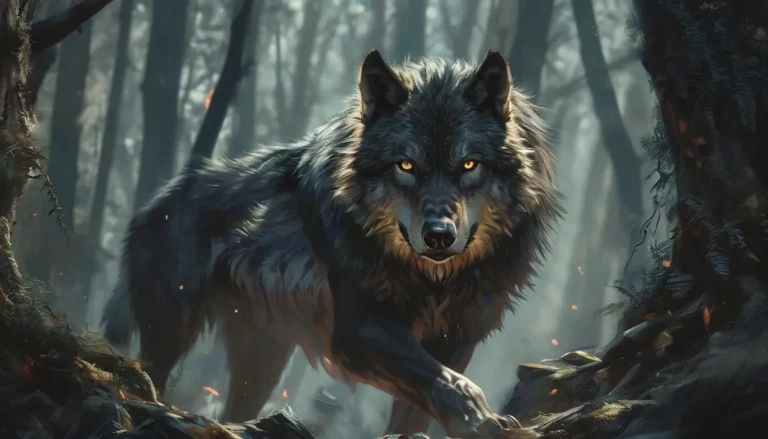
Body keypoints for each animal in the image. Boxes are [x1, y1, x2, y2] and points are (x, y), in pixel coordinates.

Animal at [102, 50, 561, 437]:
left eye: (468, 164)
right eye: (405, 165)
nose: (438, 235)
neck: (435, 280)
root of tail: (152, 205)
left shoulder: (456, 339)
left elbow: (426, 400)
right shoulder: (359, 331)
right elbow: (451, 384)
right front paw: (481, 419)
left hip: (264, 357)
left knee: (238, 410)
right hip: (172, 332)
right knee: (148, 381)